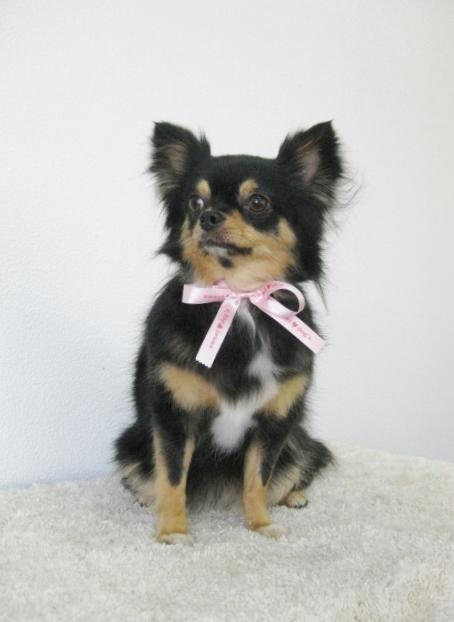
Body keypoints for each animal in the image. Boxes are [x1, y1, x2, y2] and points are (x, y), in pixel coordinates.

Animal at [115, 121, 343, 544]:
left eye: (257, 202)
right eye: (194, 202)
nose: (209, 216)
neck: (239, 297)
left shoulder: (275, 423)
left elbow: (257, 480)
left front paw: (260, 525)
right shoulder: (174, 418)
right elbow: (173, 480)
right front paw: (173, 532)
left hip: (298, 443)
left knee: (290, 471)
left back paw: (294, 496)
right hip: (131, 445)